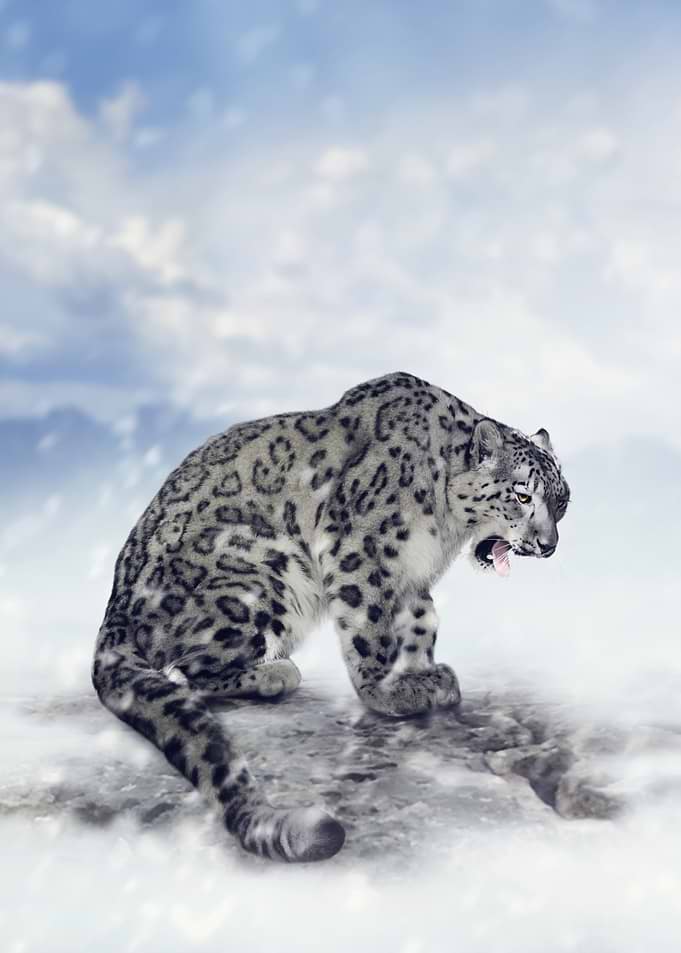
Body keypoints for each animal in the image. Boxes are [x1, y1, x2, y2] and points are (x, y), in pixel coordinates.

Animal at [92, 371, 570, 863]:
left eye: (563, 501)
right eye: (521, 494)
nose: (548, 545)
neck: (447, 529)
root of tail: (115, 608)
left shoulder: (410, 574)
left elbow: (422, 619)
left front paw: (424, 673)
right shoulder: (362, 547)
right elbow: (371, 626)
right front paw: (387, 690)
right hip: (264, 574)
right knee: (187, 668)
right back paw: (275, 673)